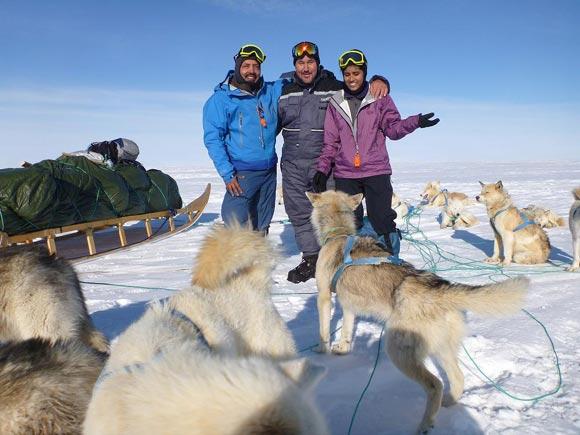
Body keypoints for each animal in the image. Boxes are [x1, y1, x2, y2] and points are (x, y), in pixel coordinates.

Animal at [308, 192, 532, 435]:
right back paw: (448, 403)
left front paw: (321, 351)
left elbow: (323, 331)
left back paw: (425, 424)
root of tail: (438, 287)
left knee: (436, 384)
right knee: (457, 378)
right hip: (441, 349)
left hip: (399, 352)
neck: (339, 234)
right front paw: (342, 350)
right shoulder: (348, 304)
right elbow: (346, 332)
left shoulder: (323, 297)